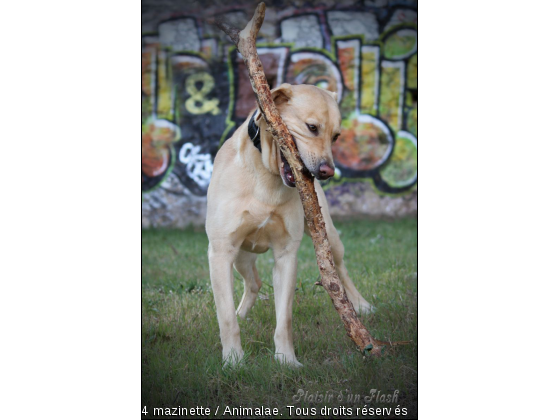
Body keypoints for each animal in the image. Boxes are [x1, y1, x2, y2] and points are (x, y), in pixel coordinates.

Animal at [206, 83, 372, 366]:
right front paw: (234, 361)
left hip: (330, 237)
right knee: (253, 283)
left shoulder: (286, 254)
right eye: (312, 127)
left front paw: (286, 360)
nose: (328, 172)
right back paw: (242, 315)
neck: (267, 177)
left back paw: (361, 305)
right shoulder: (221, 251)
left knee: (340, 272)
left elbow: (285, 318)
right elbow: (226, 318)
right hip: (240, 256)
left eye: (336, 136)